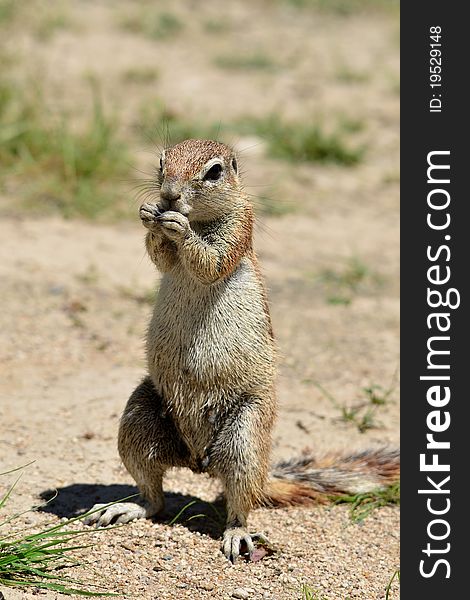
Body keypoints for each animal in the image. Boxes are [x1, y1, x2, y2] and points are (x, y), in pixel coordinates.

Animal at [85, 138, 400, 560]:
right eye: (162, 161)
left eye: (215, 171)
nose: (169, 195)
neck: (201, 219)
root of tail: (197, 461)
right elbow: (161, 258)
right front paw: (150, 214)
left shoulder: (239, 229)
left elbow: (210, 261)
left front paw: (177, 228)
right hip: (139, 418)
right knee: (154, 497)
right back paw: (126, 507)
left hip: (246, 435)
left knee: (238, 502)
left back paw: (237, 534)